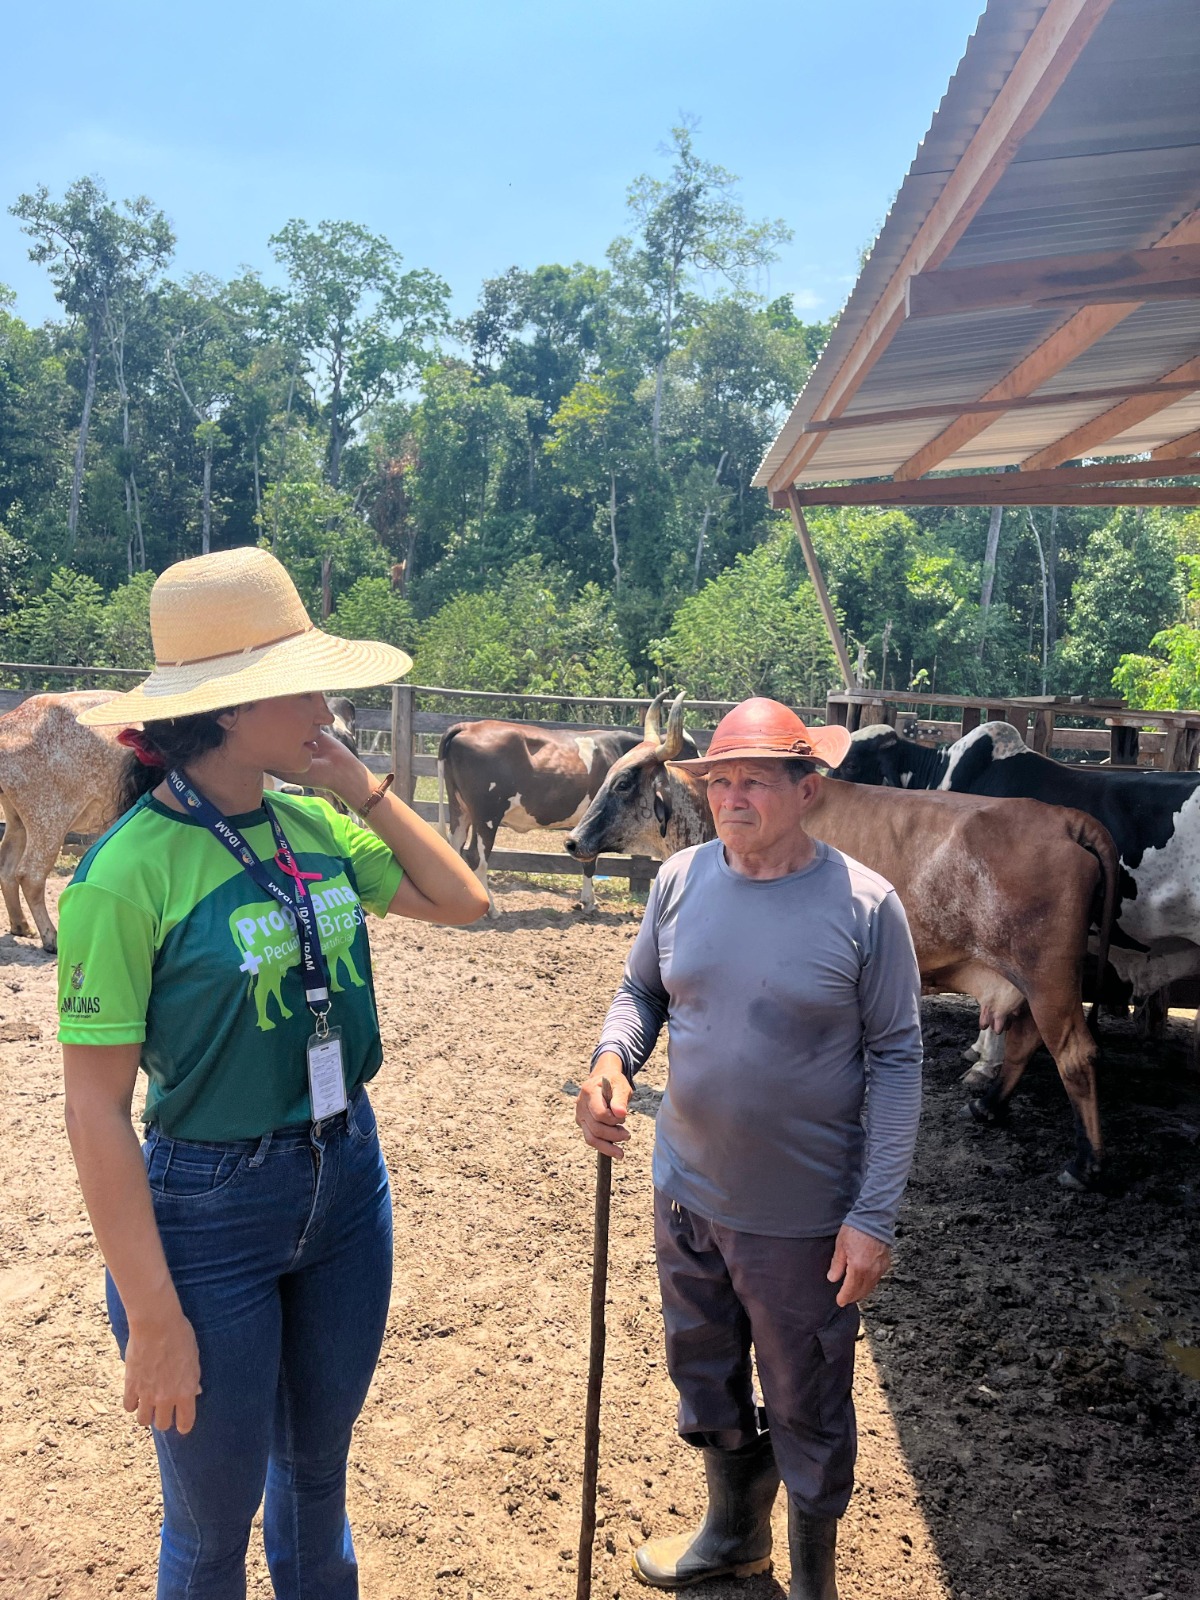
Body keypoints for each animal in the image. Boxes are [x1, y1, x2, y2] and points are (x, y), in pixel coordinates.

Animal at [0, 688, 129, 947]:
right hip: (48, 818)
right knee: (29, 874)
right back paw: (51, 937)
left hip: (17, 819)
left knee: (6, 866)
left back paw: (21, 926)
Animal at [438, 694, 700, 921]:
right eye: (689, 749)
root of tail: (466, 726)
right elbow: (590, 862)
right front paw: (589, 903)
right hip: (486, 815)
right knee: (476, 855)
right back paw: (492, 909)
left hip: (460, 809)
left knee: (454, 846)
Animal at [569, 697, 1126, 1190]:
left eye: (623, 782)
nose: (573, 841)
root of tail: (1065, 819)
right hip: (1031, 982)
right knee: (1028, 1042)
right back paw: (989, 1106)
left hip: (1049, 978)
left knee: (1076, 1054)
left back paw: (1087, 1165)